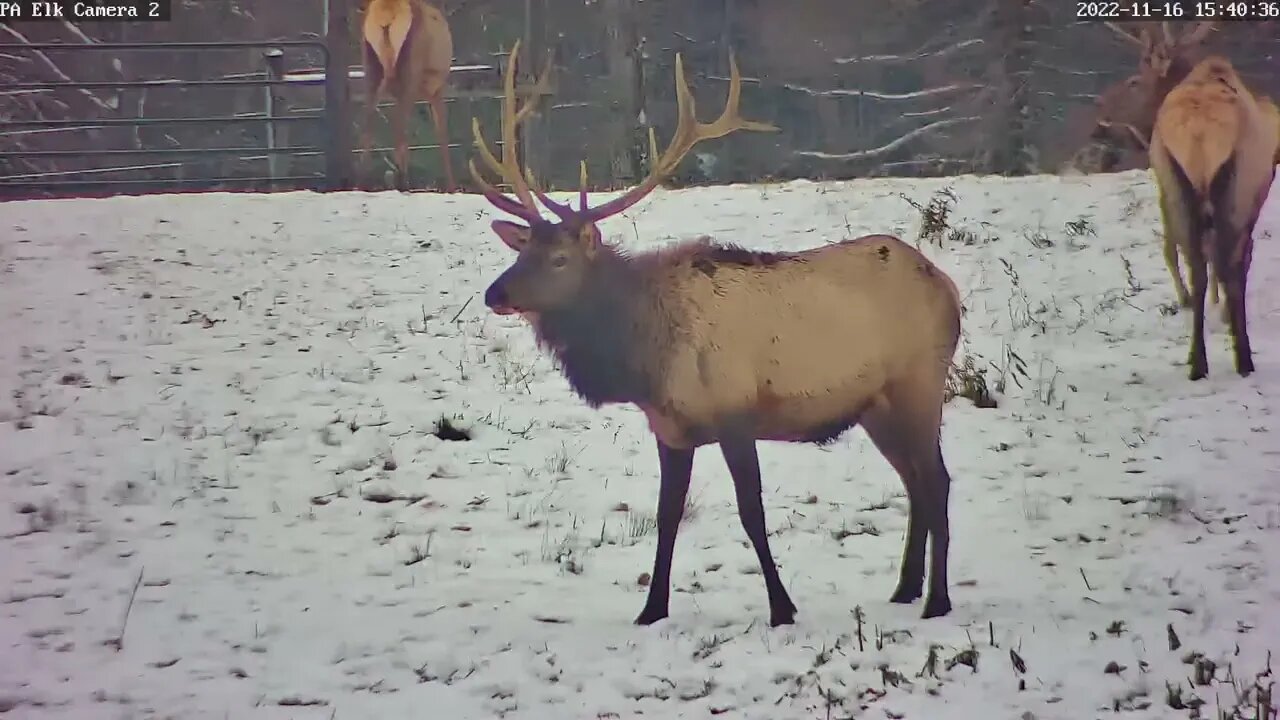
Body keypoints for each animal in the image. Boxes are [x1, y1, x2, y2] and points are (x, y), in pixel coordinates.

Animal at [359, 0, 455, 192]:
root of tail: (386, 14)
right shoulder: (436, 87)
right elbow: (442, 133)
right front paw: (451, 188)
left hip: (371, 67)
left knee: (369, 121)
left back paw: (364, 181)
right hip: (411, 71)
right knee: (399, 124)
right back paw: (402, 182)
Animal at [468, 41, 965, 625]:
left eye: (560, 259)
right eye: (522, 250)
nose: (494, 294)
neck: (645, 360)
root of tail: (946, 286)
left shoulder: (735, 413)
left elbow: (752, 513)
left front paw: (782, 608)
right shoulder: (670, 429)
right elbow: (667, 517)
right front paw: (651, 610)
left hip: (920, 380)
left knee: (937, 480)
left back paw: (937, 600)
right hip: (875, 405)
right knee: (913, 481)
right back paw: (905, 588)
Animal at [1149, 54, 1280, 381]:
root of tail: (1198, 132)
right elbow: (1240, 264)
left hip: (1176, 187)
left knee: (1196, 267)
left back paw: (1197, 363)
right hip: (1231, 193)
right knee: (1227, 266)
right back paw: (1243, 359)